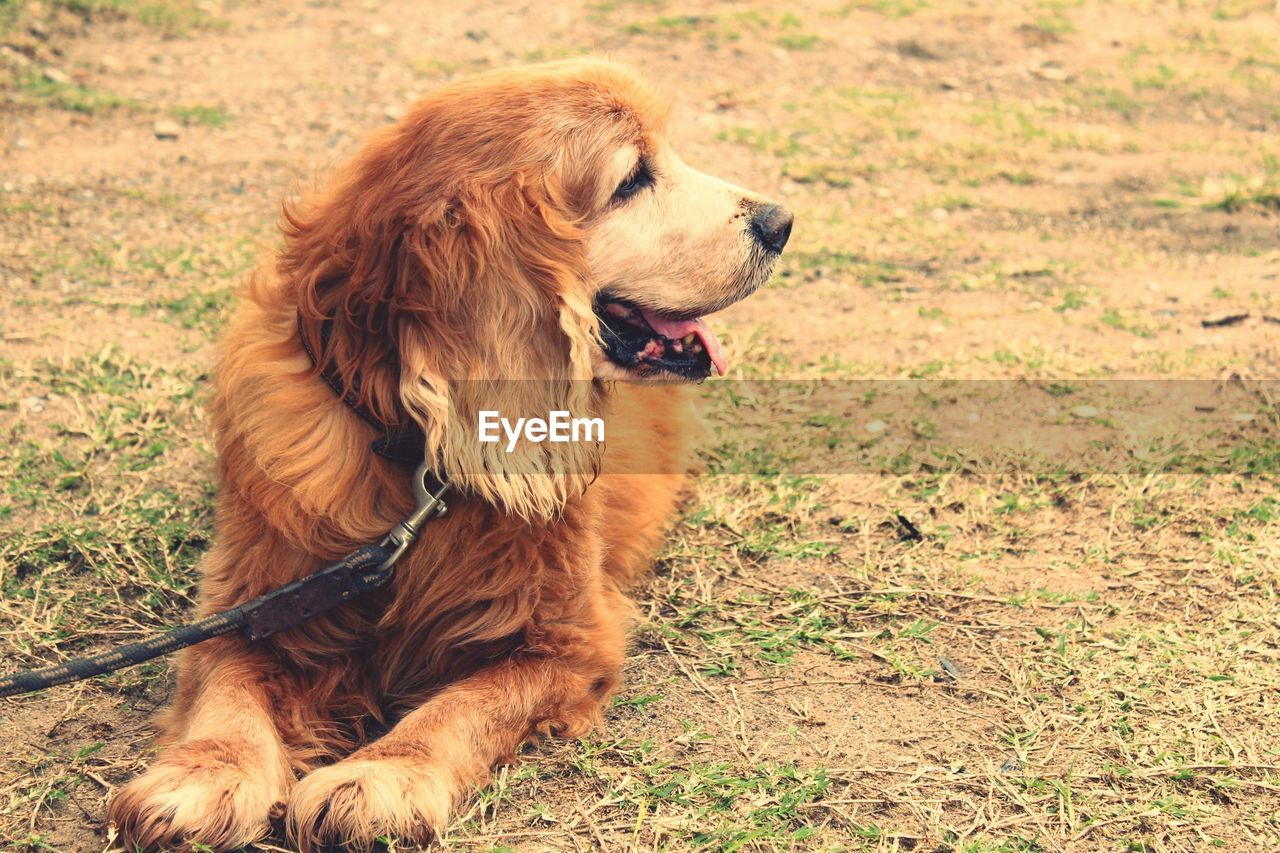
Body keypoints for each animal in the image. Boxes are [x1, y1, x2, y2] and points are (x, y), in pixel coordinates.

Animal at [110, 56, 788, 845]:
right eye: (630, 180)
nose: (782, 222)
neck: (415, 454)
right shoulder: (254, 602)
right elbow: (226, 685)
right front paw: (204, 773)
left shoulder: (565, 641)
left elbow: (462, 705)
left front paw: (382, 773)